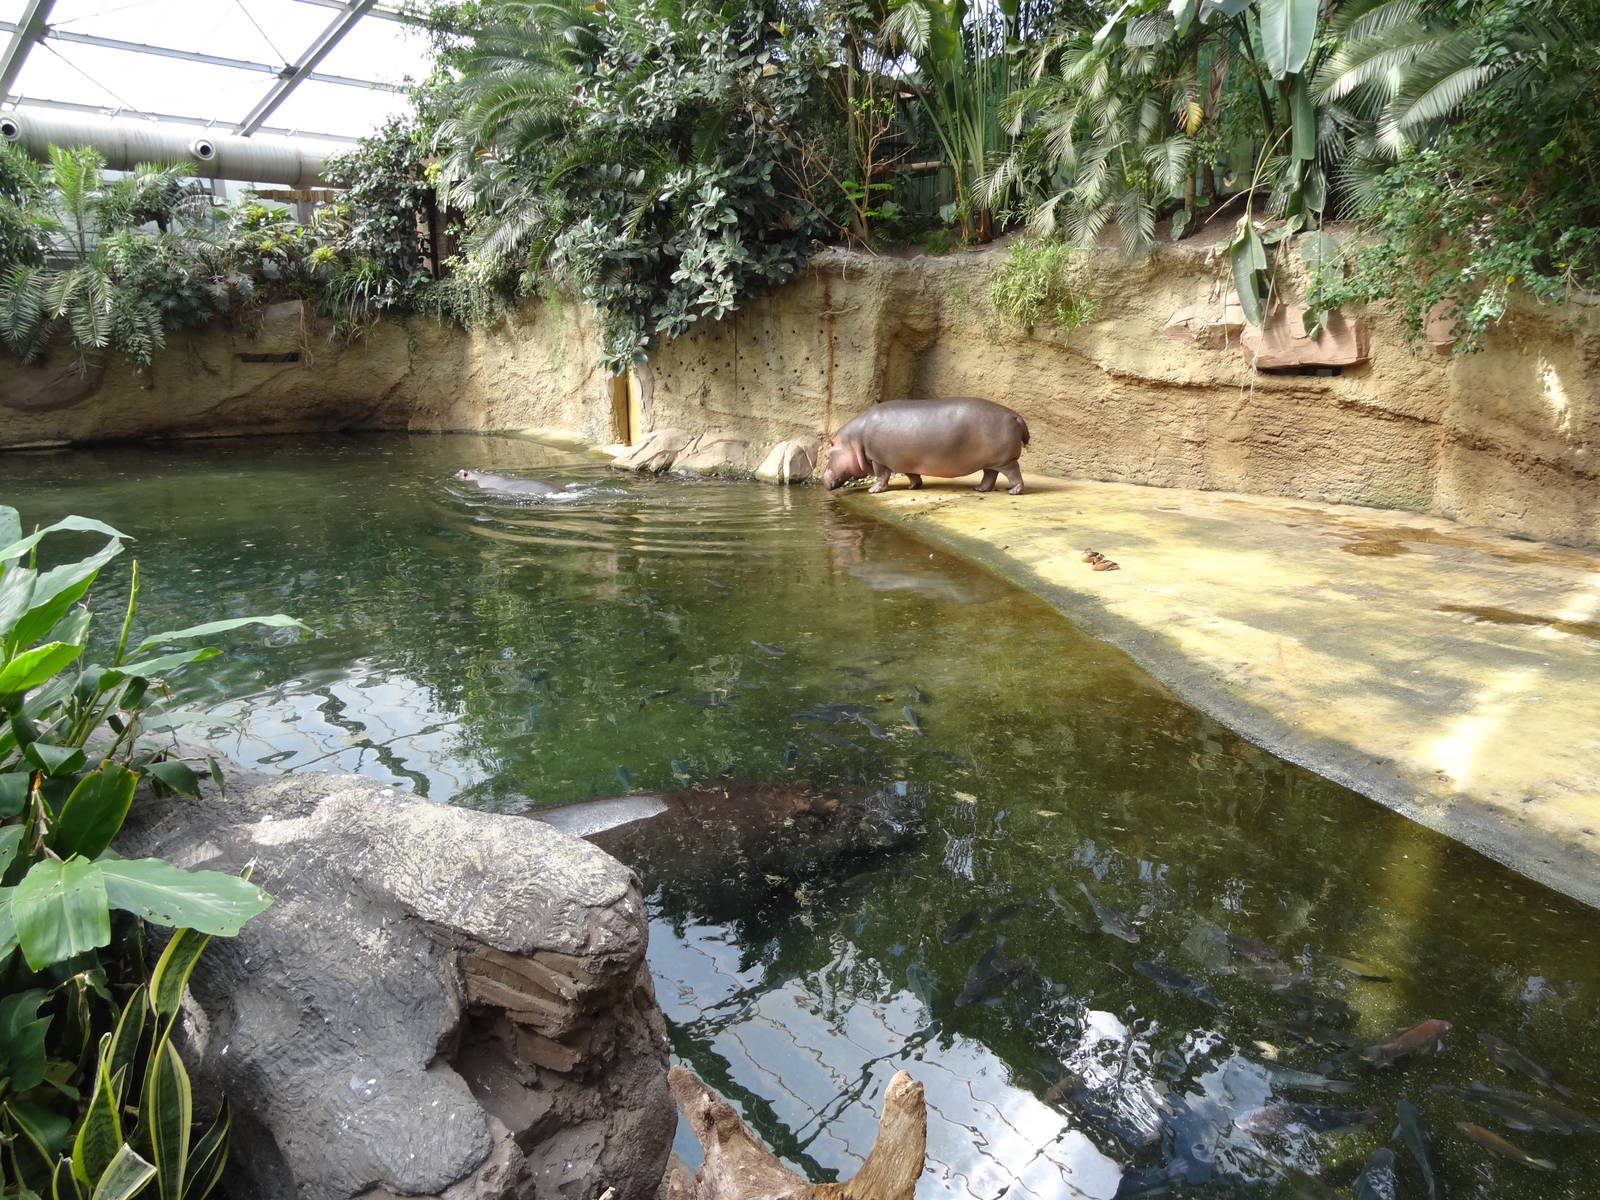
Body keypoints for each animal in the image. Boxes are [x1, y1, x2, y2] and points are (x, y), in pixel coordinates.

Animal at [822, 397, 1030, 495]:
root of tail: (1016, 416)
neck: (852, 440)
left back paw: (1014, 491)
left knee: (1014, 472)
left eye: (828, 454)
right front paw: (912, 487)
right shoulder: (906, 461)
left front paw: (873, 490)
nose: (822, 479)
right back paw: (979, 489)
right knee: (989, 475)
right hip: (991, 461)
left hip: (1006, 460)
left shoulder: (877, 459)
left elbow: (881, 476)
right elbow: (913, 475)